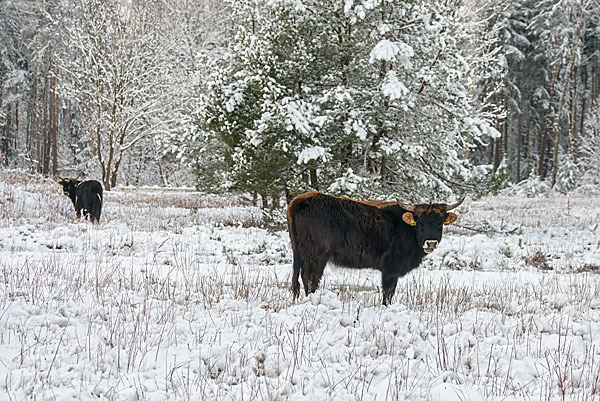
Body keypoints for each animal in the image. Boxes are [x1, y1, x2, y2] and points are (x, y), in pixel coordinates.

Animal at [288, 191, 464, 304]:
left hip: (301, 253)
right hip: (317, 255)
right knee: (311, 278)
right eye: (420, 223)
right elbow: (388, 292)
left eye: (440, 224)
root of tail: (299, 200)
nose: (431, 243)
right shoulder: (390, 269)